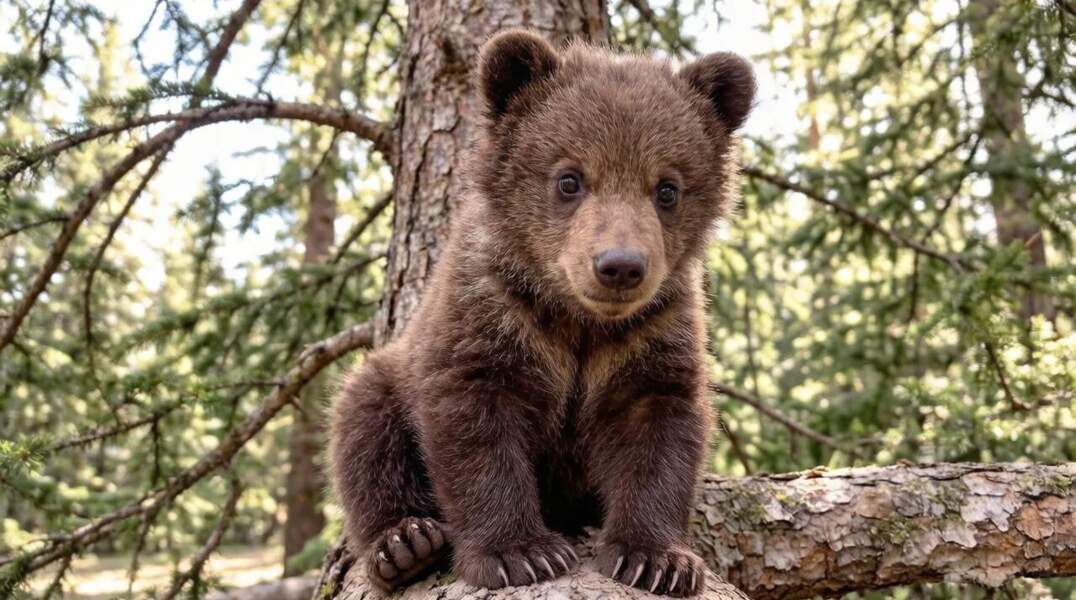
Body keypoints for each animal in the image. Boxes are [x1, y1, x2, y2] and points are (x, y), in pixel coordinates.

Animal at [329, 29, 755, 597]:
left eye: (667, 188)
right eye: (569, 179)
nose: (620, 266)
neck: (577, 319)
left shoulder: (653, 332)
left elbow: (660, 431)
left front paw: (656, 559)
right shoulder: (489, 317)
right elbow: (476, 431)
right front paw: (520, 552)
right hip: (389, 377)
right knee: (363, 423)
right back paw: (405, 544)